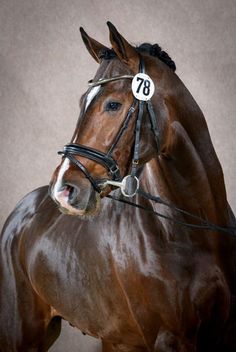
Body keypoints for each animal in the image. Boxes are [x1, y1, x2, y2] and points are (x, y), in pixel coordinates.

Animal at [0, 22, 236, 352]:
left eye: (113, 104)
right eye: (81, 102)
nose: (63, 189)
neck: (194, 232)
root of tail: (21, 212)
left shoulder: (225, 333)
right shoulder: (169, 338)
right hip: (21, 331)